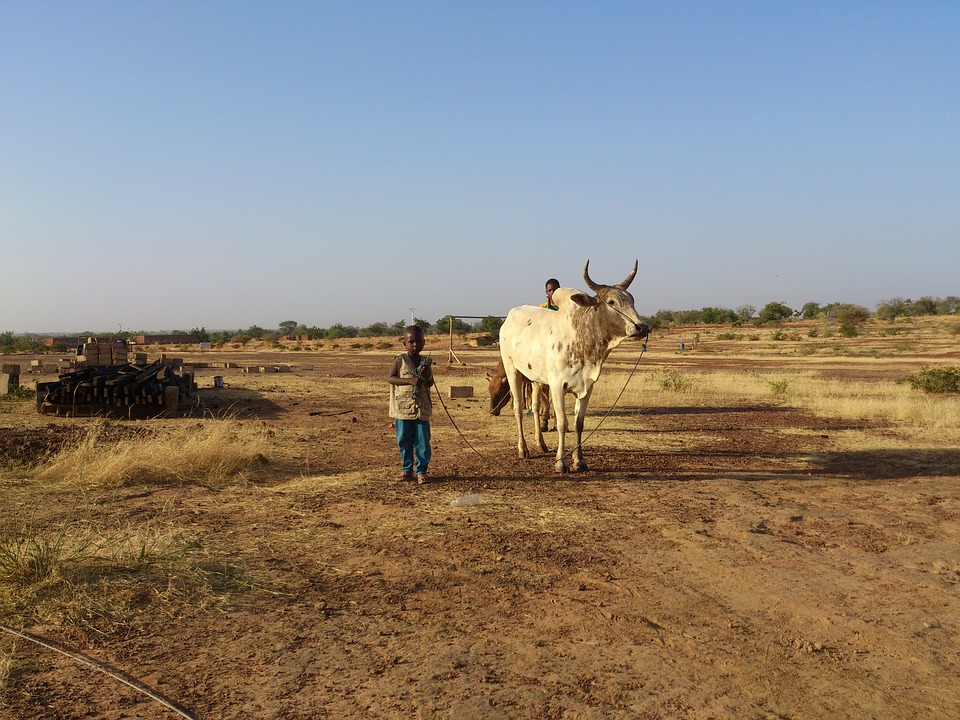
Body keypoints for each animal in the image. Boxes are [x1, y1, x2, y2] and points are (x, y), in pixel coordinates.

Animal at [498, 262, 648, 476]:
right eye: (611, 302)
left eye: (632, 300)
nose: (642, 327)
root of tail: (509, 318)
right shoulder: (557, 386)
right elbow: (562, 424)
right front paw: (561, 463)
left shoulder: (587, 387)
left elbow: (578, 424)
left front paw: (580, 461)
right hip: (513, 370)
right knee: (518, 408)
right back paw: (523, 449)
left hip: (535, 379)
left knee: (534, 407)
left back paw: (540, 444)